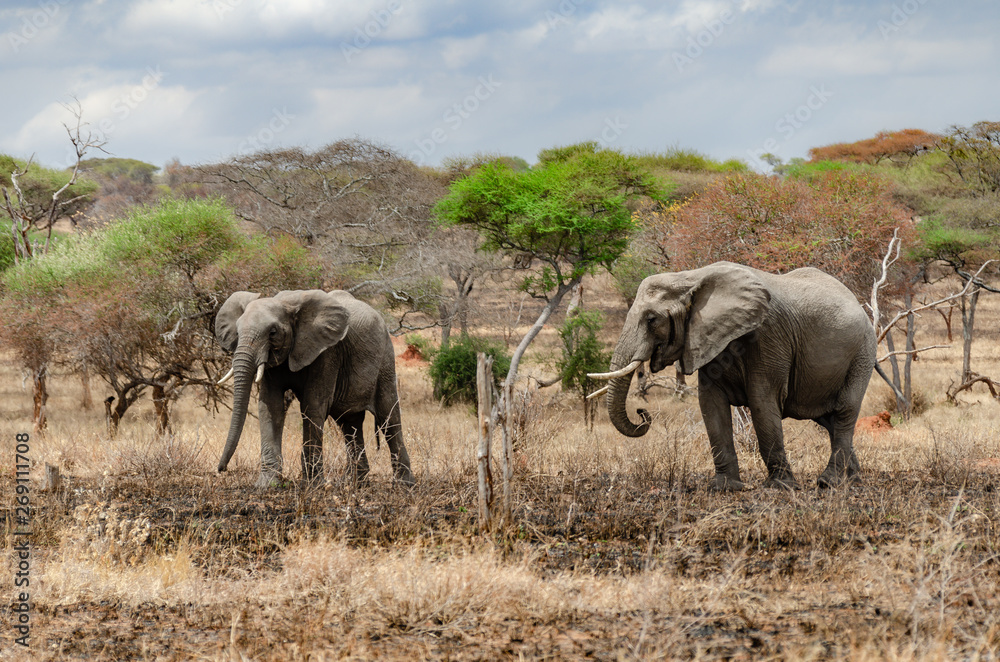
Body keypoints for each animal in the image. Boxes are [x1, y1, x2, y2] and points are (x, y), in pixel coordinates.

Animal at [214, 289, 415, 488]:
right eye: (237, 332)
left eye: (272, 332)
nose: (221, 469)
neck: (286, 303)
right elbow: (270, 406)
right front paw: (266, 485)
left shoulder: (327, 352)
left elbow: (313, 405)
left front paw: (312, 485)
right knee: (349, 423)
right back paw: (353, 483)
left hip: (385, 360)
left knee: (389, 418)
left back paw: (404, 484)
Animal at [592, 262, 877, 491]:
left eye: (652, 319)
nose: (642, 412)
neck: (691, 277)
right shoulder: (706, 339)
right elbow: (711, 406)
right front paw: (725, 488)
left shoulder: (769, 337)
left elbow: (762, 403)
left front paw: (780, 487)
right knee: (827, 419)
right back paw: (852, 480)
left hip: (862, 353)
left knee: (844, 411)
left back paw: (829, 482)